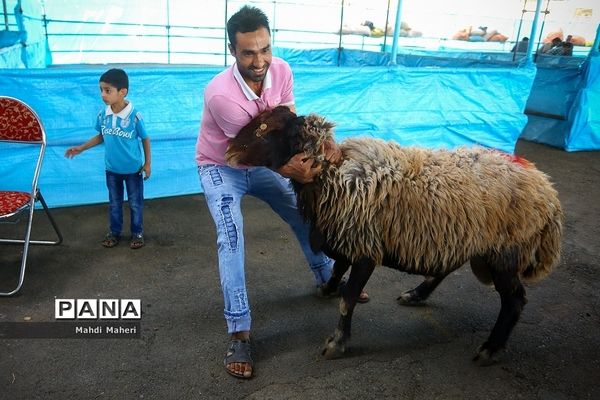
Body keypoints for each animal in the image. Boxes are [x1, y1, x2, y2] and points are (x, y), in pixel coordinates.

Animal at [224, 104, 564, 364]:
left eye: (267, 128)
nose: (228, 150)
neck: (332, 177)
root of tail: (548, 190)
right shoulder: (348, 238)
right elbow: (337, 269)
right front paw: (327, 289)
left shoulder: (365, 250)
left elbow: (348, 299)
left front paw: (337, 343)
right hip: (461, 234)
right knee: (448, 266)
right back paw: (416, 295)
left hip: (505, 252)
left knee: (515, 301)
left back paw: (490, 349)